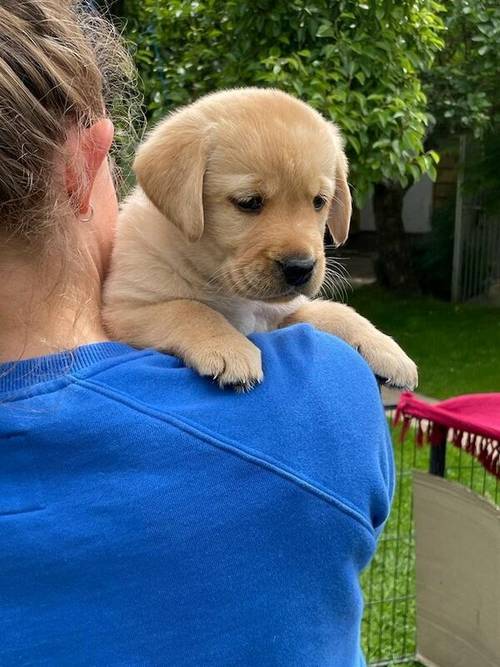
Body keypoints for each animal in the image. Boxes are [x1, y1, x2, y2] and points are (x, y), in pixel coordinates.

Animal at [104, 88, 418, 392]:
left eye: (319, 201)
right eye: (249, 202)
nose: (300, 268)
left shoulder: (282, 314)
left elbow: (334, 311)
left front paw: (386, 349)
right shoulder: (124, 309)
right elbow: (189, 309)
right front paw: (228, 347)